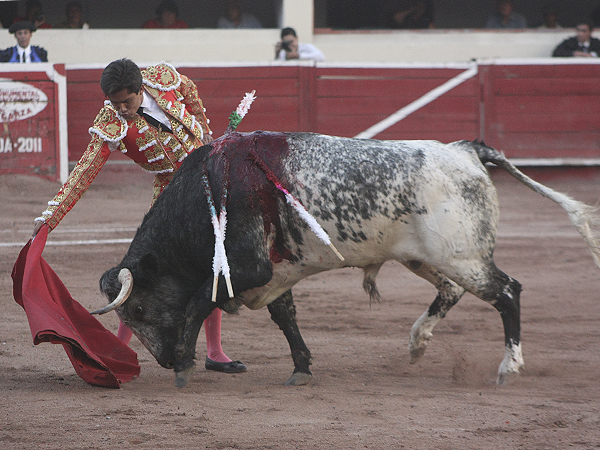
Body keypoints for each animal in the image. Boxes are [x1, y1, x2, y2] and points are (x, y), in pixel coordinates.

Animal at [92, 130, 600, 386]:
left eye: (139, 310)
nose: (159, 361)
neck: (209, 190)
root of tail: (466, 151)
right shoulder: (275, 273)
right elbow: (285, 317)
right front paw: (302, 367)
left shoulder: (245, 267)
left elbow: (200, 300)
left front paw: (183, 364)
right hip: (427, 258)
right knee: (451, 291)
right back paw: (417, 343)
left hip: (464, 256)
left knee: (508, 292)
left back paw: (507, 367)